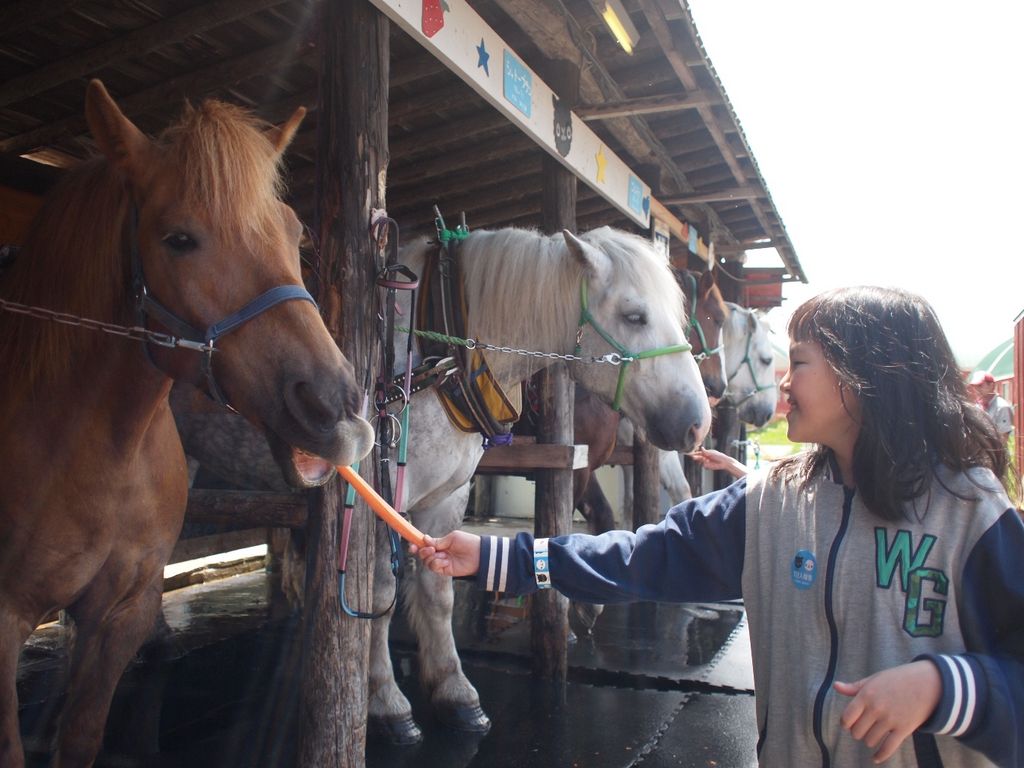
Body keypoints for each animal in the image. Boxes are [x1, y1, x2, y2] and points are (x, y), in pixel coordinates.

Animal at [0, 81, 374, 765]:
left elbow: (82, 736)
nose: (337, 411)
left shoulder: (125, 609)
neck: (101, 455)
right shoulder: (3, 621)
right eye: (178, 239)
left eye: (295, 232)